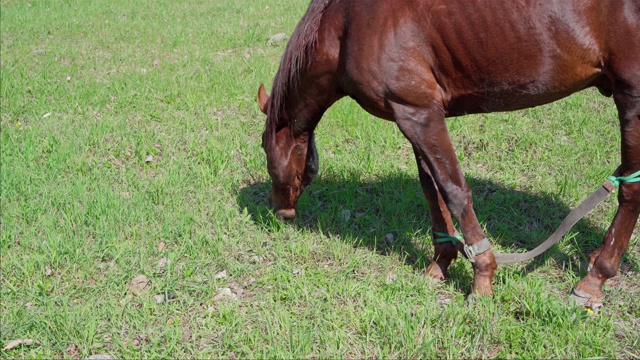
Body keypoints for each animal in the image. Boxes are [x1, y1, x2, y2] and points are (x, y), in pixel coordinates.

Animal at [256, 0, 640, 306]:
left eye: (262, 146)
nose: (277, 209)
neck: (347, 26)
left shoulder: (420, 114)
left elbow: (454, 192)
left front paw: (482, 277)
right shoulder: (413, 114)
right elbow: (433, 191)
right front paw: (441, 261)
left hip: (632, 98)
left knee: (630, 192)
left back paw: (595, 278)